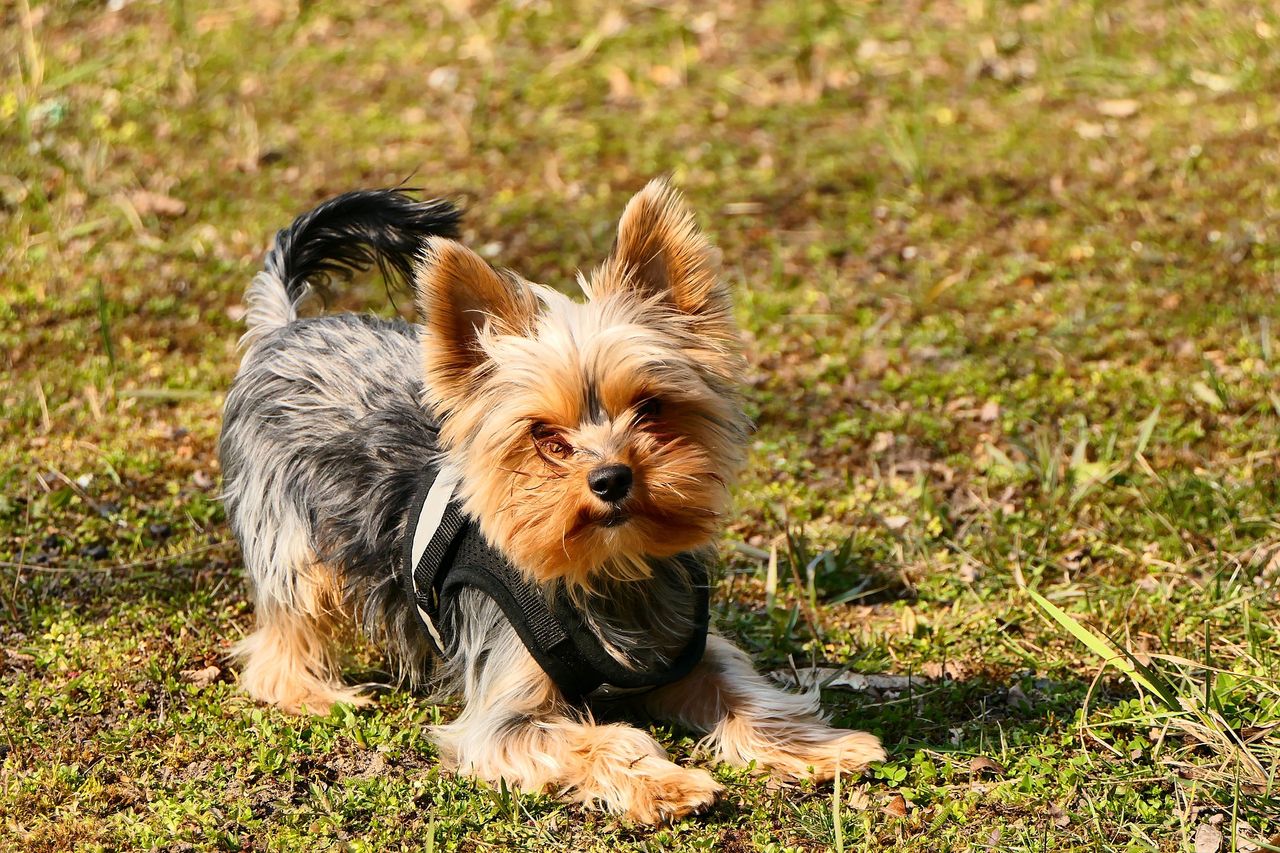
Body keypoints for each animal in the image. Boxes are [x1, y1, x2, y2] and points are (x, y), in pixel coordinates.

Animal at [217, 180, 880, 824]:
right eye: (545, 437)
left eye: (651, 407)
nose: (611, 479)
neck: (607, 570)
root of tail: (286, 327)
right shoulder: (504, 718)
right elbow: (600, 739)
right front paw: (665, 784)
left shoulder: (683, 650)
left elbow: (751, 692)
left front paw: (825, 748)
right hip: (290, 535)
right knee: (283, 631)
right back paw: (316, 695)